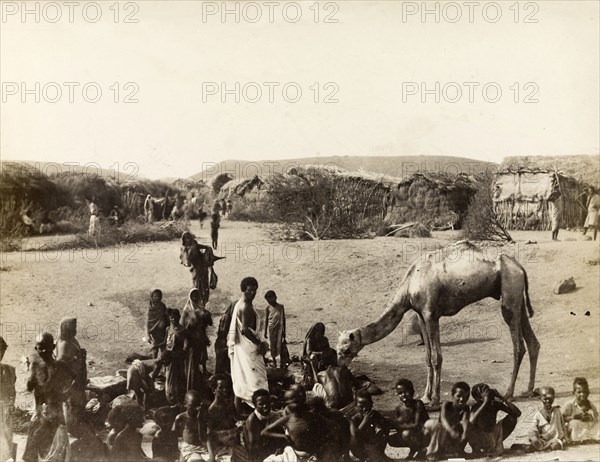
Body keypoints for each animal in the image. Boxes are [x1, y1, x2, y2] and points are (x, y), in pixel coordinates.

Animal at [338, 242, 540, 408]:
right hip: (517, 298)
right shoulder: (421, 315)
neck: (409, 285)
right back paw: (528, 390)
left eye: (345, 350)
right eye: (338, 349)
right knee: (533, 343)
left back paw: (509, 393)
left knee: (518, 346)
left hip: (510, 292)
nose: (339, 366)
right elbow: (427, 357)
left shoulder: (431, 314)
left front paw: (434, 400)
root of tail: (519, 267)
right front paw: (425, 397)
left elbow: (437, 358)